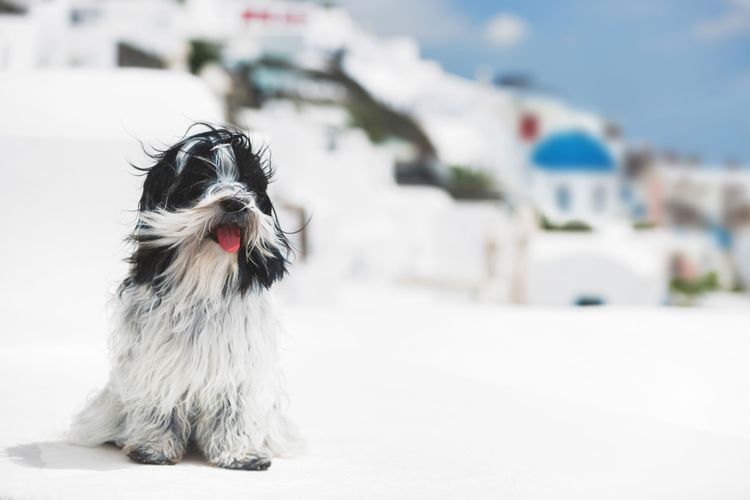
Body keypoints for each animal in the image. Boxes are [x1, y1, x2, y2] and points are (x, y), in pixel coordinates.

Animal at [71, 125, 302, 468]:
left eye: (248, 184)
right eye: (199, 181)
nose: (236, 203)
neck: (203, 284)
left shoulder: (238, 368)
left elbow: (233, 412)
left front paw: (239, 453)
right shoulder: (156, 360)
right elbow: (159, 402)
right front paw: (154, 448)